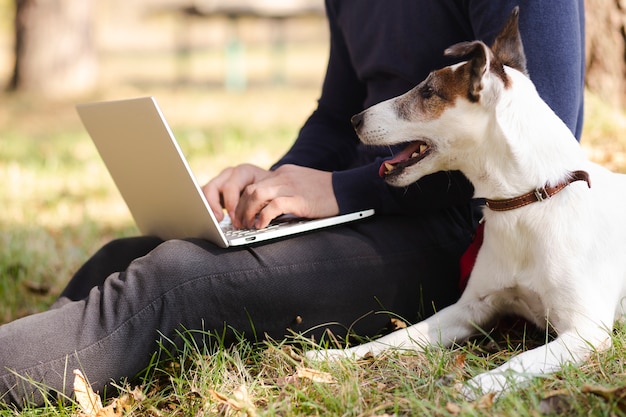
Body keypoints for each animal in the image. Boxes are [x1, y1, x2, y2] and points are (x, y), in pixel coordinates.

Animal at [304, 6, 624, 396]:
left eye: (428, 91)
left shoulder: (585, 331)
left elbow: (518, 362)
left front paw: (477, 386)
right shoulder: (469, 308)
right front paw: (338, 356)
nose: (355, 118)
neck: (528, 203)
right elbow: (396, 338)